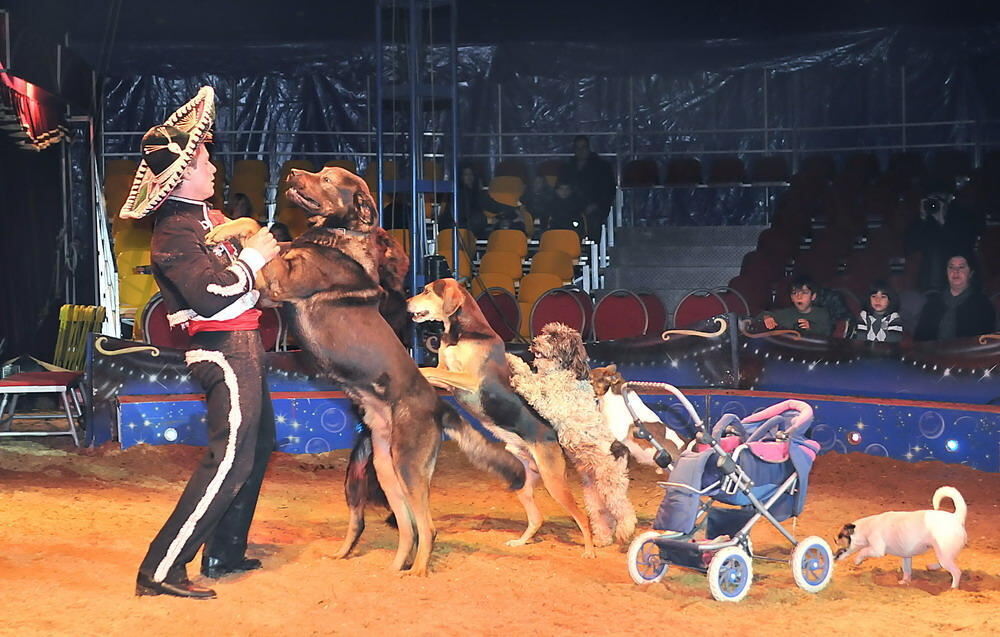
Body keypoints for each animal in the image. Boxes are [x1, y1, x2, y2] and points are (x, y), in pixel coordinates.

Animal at [210, 166, 524, 572]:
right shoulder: (269, 292)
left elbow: (257, 229)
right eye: (318, 170)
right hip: (386, 468)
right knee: (407, 525)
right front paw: (223, 229)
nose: (293, 171)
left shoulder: (281, 282)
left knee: (427, 526)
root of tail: (439, 405)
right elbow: (260, 234)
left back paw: (417, 571)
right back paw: (388, 568)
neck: (337, 237)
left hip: (407, 465)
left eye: (328, 179)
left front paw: (229, 229)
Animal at [404, 278, 592, 552]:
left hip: (554, 481)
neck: (463, 332)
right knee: (537, 518)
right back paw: (520, 541)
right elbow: (432, 371)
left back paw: (590, 550)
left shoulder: (468, 379)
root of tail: (553, 434)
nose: (406, 301)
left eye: (427, 291)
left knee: (581, 517)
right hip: (524, 483)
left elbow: (427, 370)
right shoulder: (446, 375)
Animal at [836, 486, 968, 588]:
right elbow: (907, 570)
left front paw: (857, 560)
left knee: (956, 572)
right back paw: (931, 567)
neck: (866, 527)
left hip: (943, 554)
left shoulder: (877, 550)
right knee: (944, 564)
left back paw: (953, 588)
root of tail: (956, 518)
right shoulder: (906, 556)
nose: (834, 556)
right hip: (943, 555)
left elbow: (863, 551)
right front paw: (905, 581)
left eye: (840, 538)